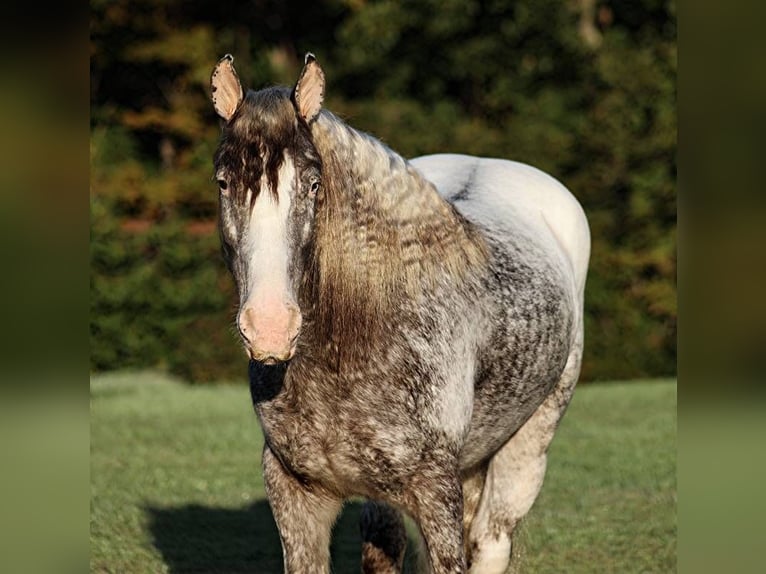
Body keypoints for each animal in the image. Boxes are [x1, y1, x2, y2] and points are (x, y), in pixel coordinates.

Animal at [209, 53, 590, 574]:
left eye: (313, 183)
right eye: (223, 182)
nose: (270, 328)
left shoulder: (435, 493)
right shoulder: (294, 493)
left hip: (529, 445)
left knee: (492, 537)